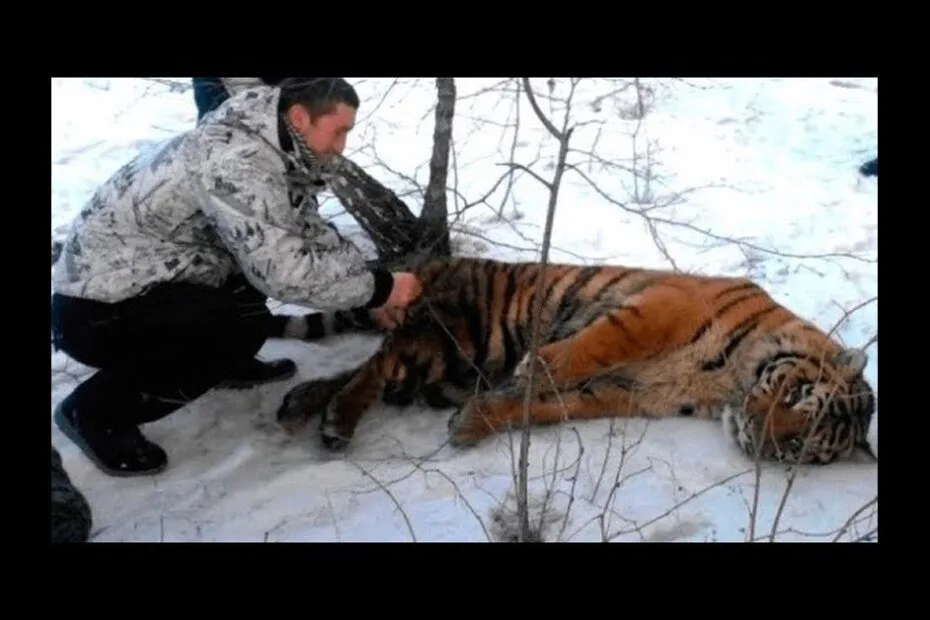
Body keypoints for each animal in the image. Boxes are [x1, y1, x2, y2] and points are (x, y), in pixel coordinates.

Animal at [271, 256, 877, 466]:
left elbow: (538, 407)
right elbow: (595, 345)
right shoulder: (664, 306)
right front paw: (537, 367)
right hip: (453, 337)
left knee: (371, 368)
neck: (725, 386)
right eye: (796, 394)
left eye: (800, 446)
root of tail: (437, 262)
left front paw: (471, 423)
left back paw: (303, 403)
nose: (756, 434)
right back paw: (335, 421)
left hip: (453, 371)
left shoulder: (625, 392)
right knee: (379, 364)